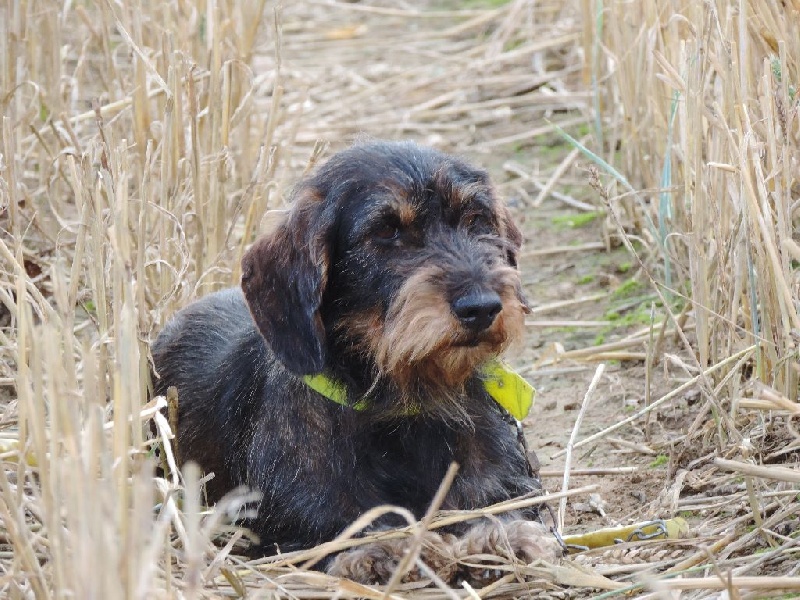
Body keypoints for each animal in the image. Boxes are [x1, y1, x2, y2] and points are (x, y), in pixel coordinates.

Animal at [152, 139, 564, 580]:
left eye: (476, 218)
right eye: (384, 230)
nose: (482, 307)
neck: (405, 406)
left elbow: (499, 509)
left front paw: (501, 537)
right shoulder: (301, 524)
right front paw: (384, 549)